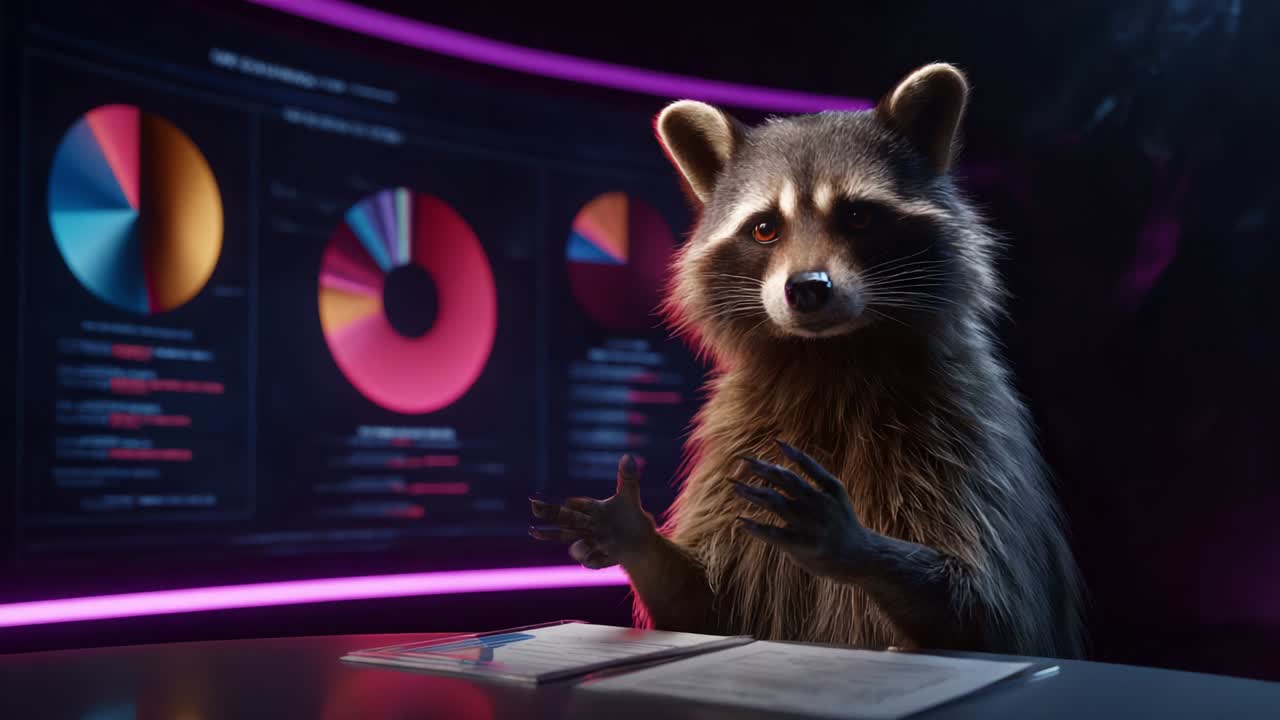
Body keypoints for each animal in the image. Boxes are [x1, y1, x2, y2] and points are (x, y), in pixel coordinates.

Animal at [532, 63, 1086, 659]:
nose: (807, 288)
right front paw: (631, 532)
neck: (830, 357)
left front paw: (857, 545)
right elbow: (704, 609)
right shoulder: (738, 437)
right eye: (764, 227)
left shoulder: (967, 432)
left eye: (858, 216)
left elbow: (992, 613)